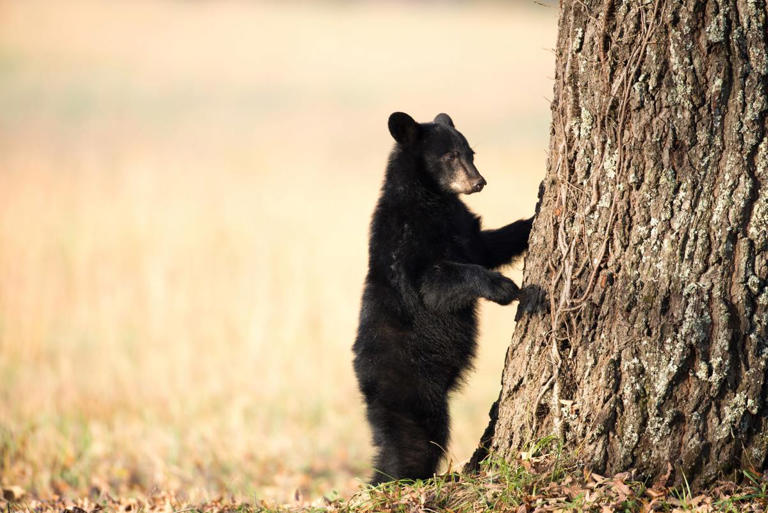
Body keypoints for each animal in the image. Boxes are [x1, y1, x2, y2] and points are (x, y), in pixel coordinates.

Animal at [352, 112, 533, 485]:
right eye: (449, 156)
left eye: (471, 153)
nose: (479, 182)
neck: (431, 199)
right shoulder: (408, 242)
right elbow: (434, 286)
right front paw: (503, 287)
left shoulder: (461, 227)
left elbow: (486, 246)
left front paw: (532, 218)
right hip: (412, 389)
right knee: (413, 444)